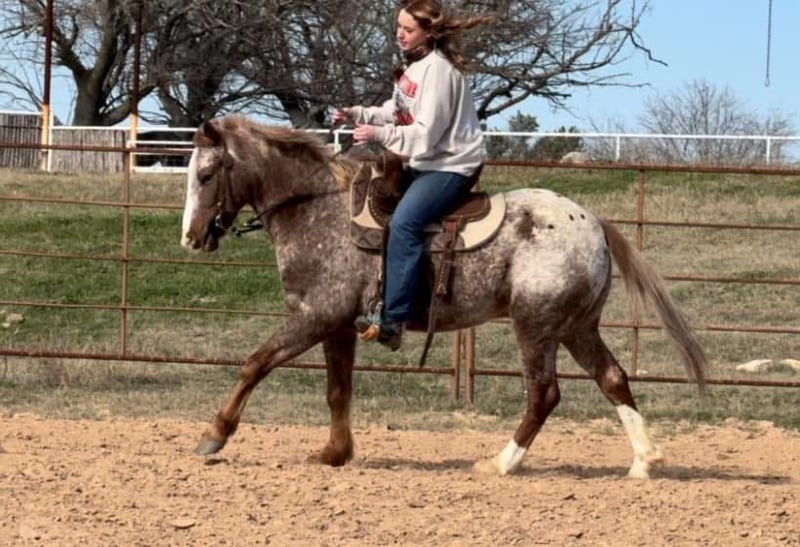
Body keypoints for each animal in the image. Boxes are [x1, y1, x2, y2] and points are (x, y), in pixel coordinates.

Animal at [180, 114, 706, 479]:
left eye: (205, 176)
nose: (191, 237)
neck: (318, 211)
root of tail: (593, 222)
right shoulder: (337, 326)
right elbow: (338, 390)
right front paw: (334, 453)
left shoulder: (313, 316)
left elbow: (256, 364)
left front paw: (214, 435)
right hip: (577, 327)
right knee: (613, 378)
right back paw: (643, 462)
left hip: (535, 327)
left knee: (544, 393)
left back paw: (501, 463)